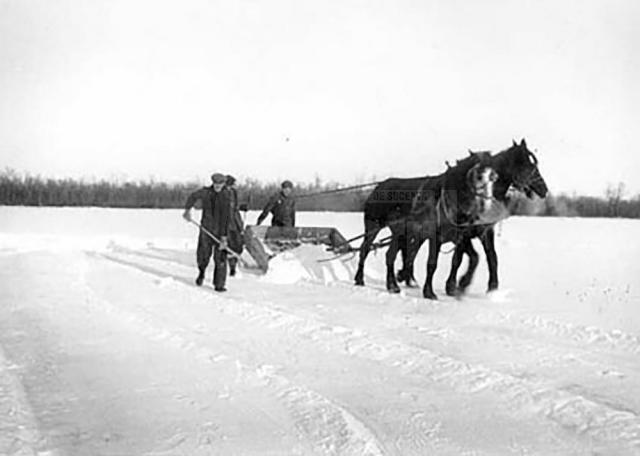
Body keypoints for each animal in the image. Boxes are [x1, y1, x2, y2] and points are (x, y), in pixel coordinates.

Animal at [352, 138, 548, 300]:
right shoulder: (440, 235)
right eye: (529, 166)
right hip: (374, 226)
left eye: (535, 165)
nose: (544, 189)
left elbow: (478, 258)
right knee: (365, 249)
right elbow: (435, 262)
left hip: (400, 232)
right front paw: (434, 291)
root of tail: (379, 186)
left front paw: (479, 287)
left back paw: (395, 284)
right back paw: (361, 279)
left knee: (392, 255)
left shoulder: (473, 233)